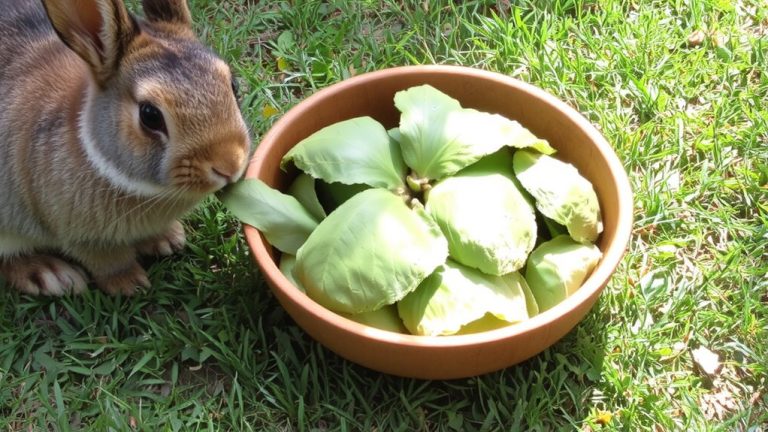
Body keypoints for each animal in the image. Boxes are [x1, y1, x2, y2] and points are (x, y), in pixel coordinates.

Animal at [0, 0, 252, 296]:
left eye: (233, 84)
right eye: (150, 115)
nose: (229, 165)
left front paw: (168, 239)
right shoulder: (82, 238)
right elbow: (109, 262)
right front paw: (130, 284)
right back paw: (51, 274)